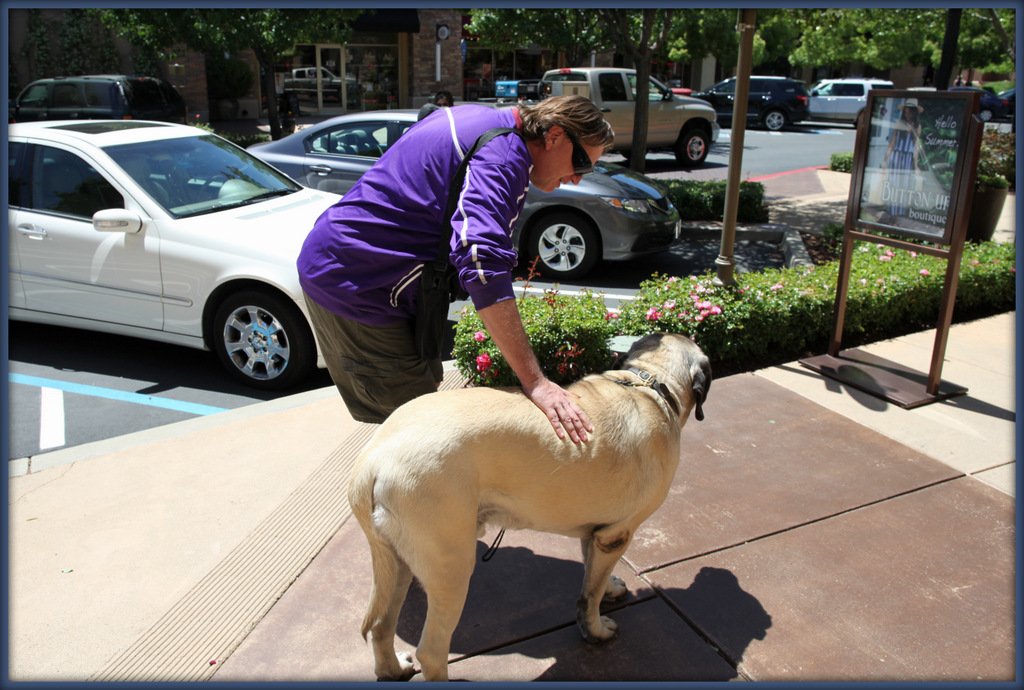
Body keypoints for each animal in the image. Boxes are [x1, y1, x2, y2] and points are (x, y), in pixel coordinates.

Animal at [348, 331, 708, 675]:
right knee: (432, 652)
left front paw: (609, 587)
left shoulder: (597, 533)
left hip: (394, 560)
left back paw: (393, 668)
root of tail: (371, 459)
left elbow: (592, 572)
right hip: (449, 564)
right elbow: (588, 595)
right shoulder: (616, 534)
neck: (650, 382)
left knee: (379, 625)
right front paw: (596, 630)